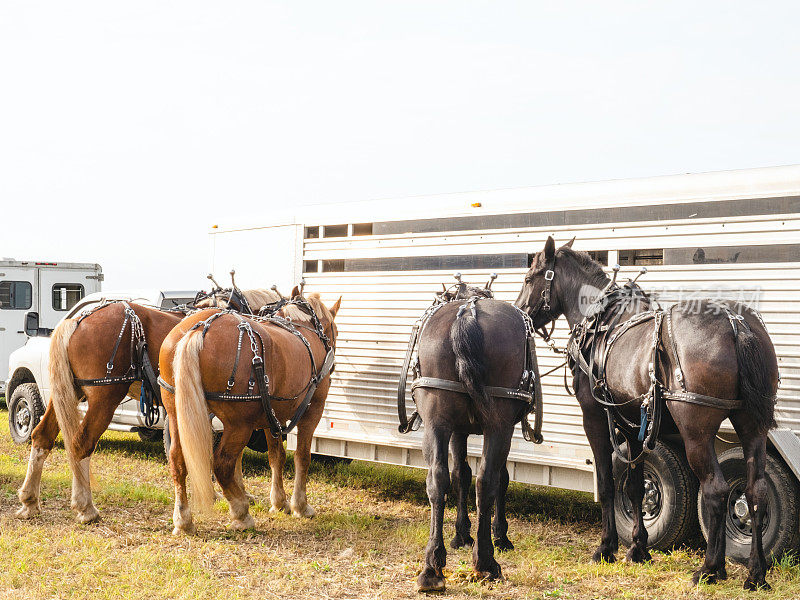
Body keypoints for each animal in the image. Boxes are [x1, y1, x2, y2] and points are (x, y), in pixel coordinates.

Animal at [15, 284, 282, 524]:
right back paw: (86, 508)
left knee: (42, 436)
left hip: (68, 392)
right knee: (82, 444)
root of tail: (78, 320)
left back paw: (29, 501)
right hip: (104, 398)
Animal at [158, 290, 340, 536]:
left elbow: (277, 456)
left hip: (177, 411)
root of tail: (200, 329)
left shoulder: (272, 416)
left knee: (178, 461)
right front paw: (300, 506)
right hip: (239, 425)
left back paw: (183, 520)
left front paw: (279, 502)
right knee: (222, 464)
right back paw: (241, 513)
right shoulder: (313, 411)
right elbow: (302, 456)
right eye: (335, 331)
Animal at [400, 276, 544, 592]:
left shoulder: (456, 431)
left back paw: (432, 567)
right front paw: (497, 534)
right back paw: (486, 561)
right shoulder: (495, 429)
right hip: (498, 427)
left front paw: (461, 533)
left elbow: (459, 475)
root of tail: (469, 313)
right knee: (486, 480)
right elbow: (493, 478)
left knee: (437, 480)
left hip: (437, 424)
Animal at [516, 236, 780, 592]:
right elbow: (636, 488)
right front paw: (638, 549)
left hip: (696, 431)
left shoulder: (594, 417)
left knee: (717, 490)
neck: (601, 320)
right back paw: (756, 573)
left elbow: (608, 482)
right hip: (753, 426)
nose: (520, 313)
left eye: (529, 278)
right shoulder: (631, 424)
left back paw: (711, 568)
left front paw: (607, 548)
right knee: (756, 492)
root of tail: (735, 323)